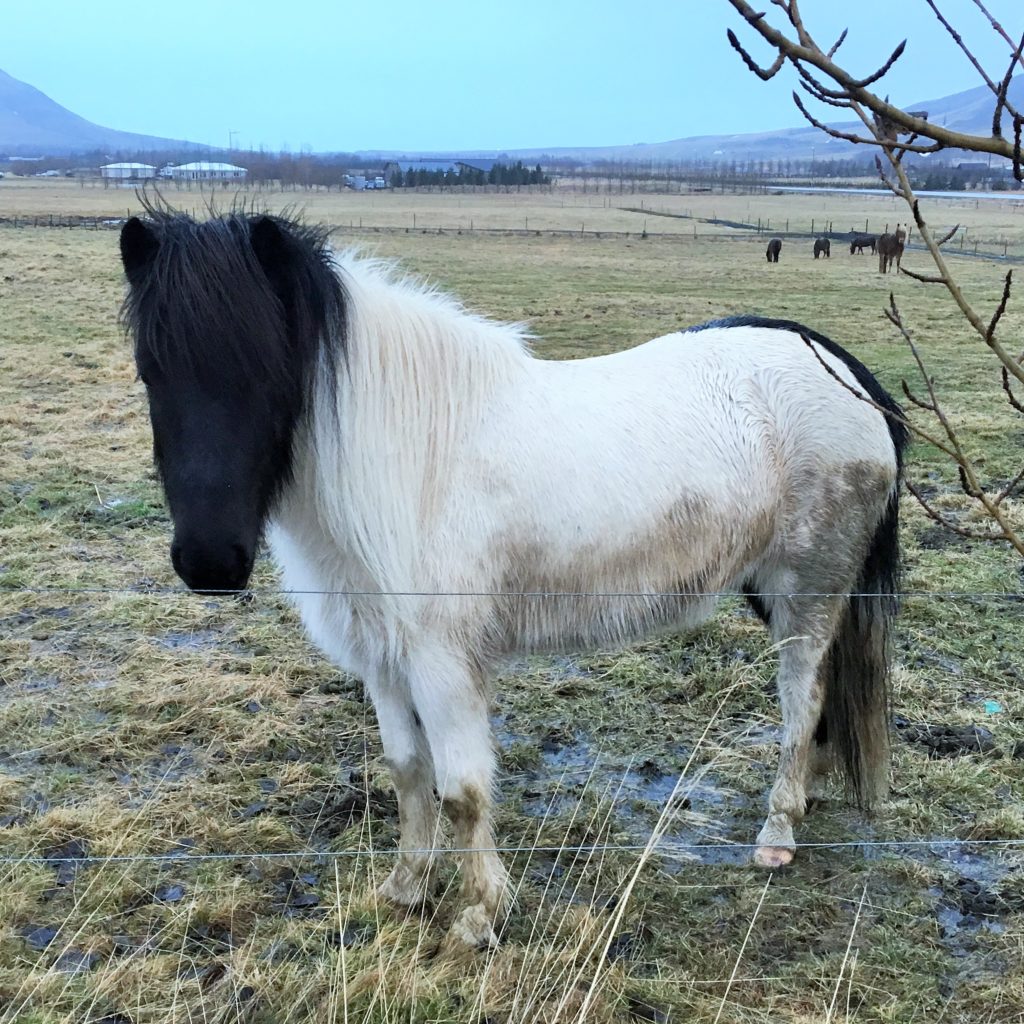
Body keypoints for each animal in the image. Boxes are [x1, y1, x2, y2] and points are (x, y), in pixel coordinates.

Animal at [117, 207, 905, 950]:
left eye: (268, 372)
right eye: (151, 371)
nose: (209, 563)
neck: (413, 459)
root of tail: (839, 367)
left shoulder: (442, 663)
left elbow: (462, 791)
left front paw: (479, 918)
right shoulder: (382, 659)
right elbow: (405, 771)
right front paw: (405, 888)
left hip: (807, 593)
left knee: (802, 699)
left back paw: (777, 834)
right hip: (772, 591)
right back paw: (812, 794)